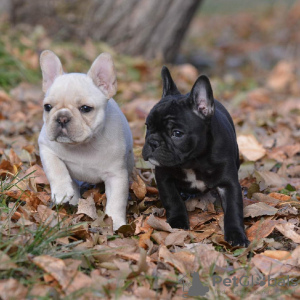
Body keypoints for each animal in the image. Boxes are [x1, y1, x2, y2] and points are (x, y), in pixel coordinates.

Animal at [38, 50, 134, 231]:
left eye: (85, 108)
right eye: (47, 107)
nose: (62, 117)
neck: (82, 145)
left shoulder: (116, 176)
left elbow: (116, 202)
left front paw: (116, 223)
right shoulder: (46, 147)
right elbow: (56, 168)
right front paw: (61, 190)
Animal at [142, 67, 250, 246]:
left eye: (177, 133)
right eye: (148, 126)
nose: (153, 142)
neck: (193, 162)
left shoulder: (229, 184)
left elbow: (233, 209)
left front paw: (237, 235)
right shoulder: (164, 177)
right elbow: (172, 199)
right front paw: (177, 221)